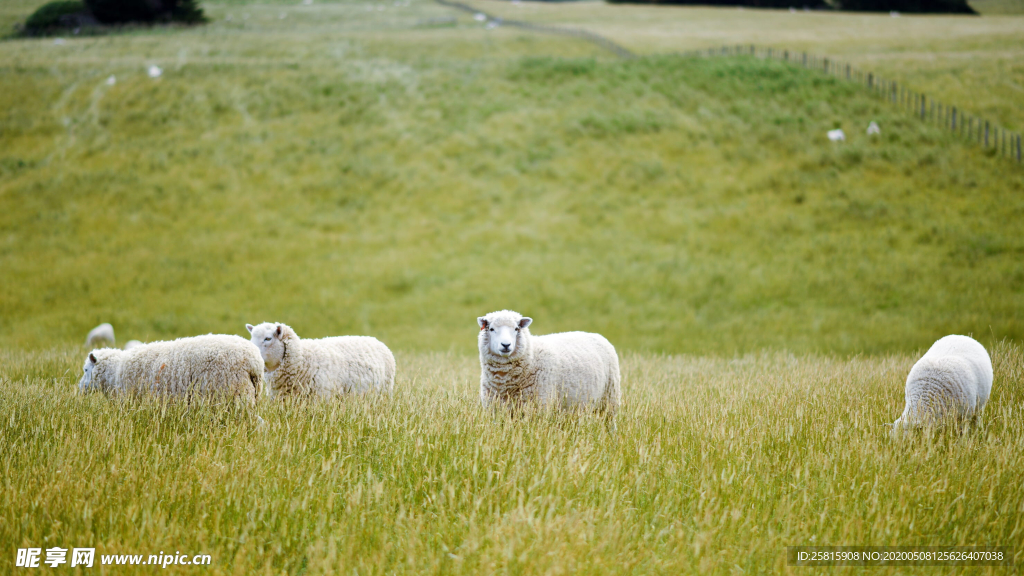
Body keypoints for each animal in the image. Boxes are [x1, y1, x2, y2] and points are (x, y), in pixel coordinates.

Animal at [475, 309, 618, 426]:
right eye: (491, 329)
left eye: (516, 328)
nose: (506, 345)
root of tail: (597, 335)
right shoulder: (496, 410)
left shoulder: (539, 407)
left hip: (609, 399)